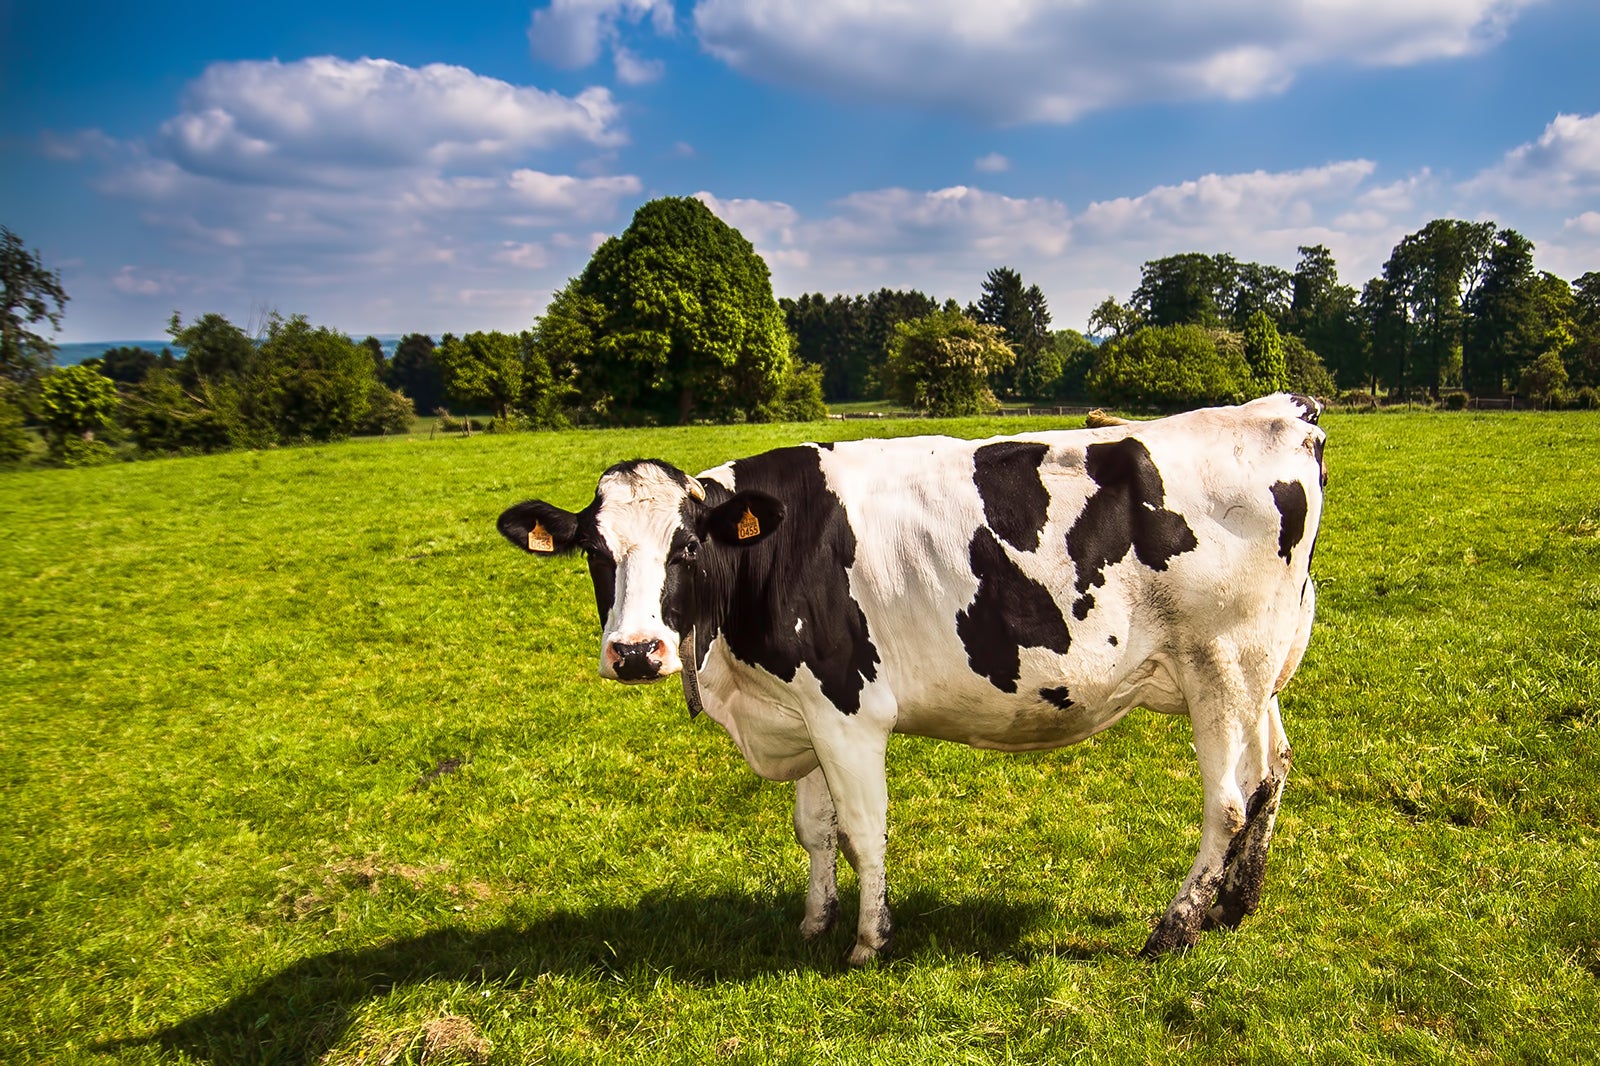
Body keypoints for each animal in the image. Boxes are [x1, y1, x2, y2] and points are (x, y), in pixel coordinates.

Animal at [499, 393, 1324, 960]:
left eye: (688, 548)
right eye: (596, 553)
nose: (636, 652)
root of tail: (1282, 410)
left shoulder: (846, 708)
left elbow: (863, 829)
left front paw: (869, 939)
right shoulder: (802, 706)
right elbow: (814, 830)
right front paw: (814, 922)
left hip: (1221, 664)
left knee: (1227, 803)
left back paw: (1175, 928)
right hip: (1257, 672)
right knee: (1271, 772)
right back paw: (1235, 903)